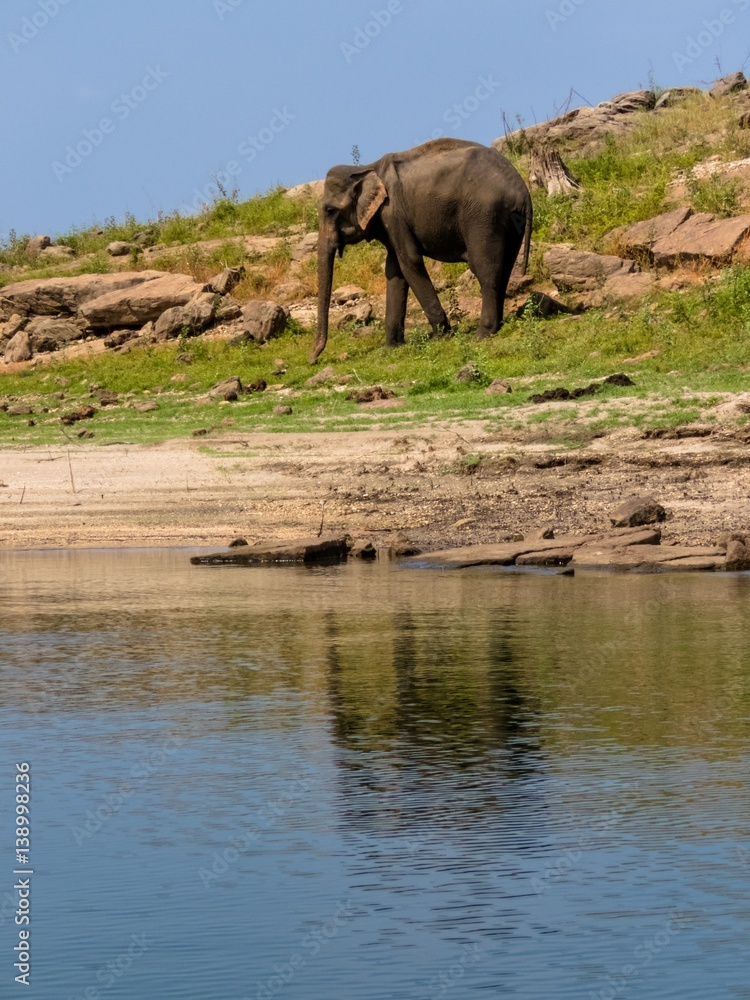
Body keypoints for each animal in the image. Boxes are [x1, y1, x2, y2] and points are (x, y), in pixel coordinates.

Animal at [310, 138, 532, 363]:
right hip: (510, 221)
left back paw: (482, 335)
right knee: (505, 267)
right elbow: (394, 269)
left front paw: (440, 337)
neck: (366, 169)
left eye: (330, 210)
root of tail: (521, 188)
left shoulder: (393, 212)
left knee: (485, 269)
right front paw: (390, 348)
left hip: (484, 216)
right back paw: (497, 326)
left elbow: (409, 260)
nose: (313, 360)